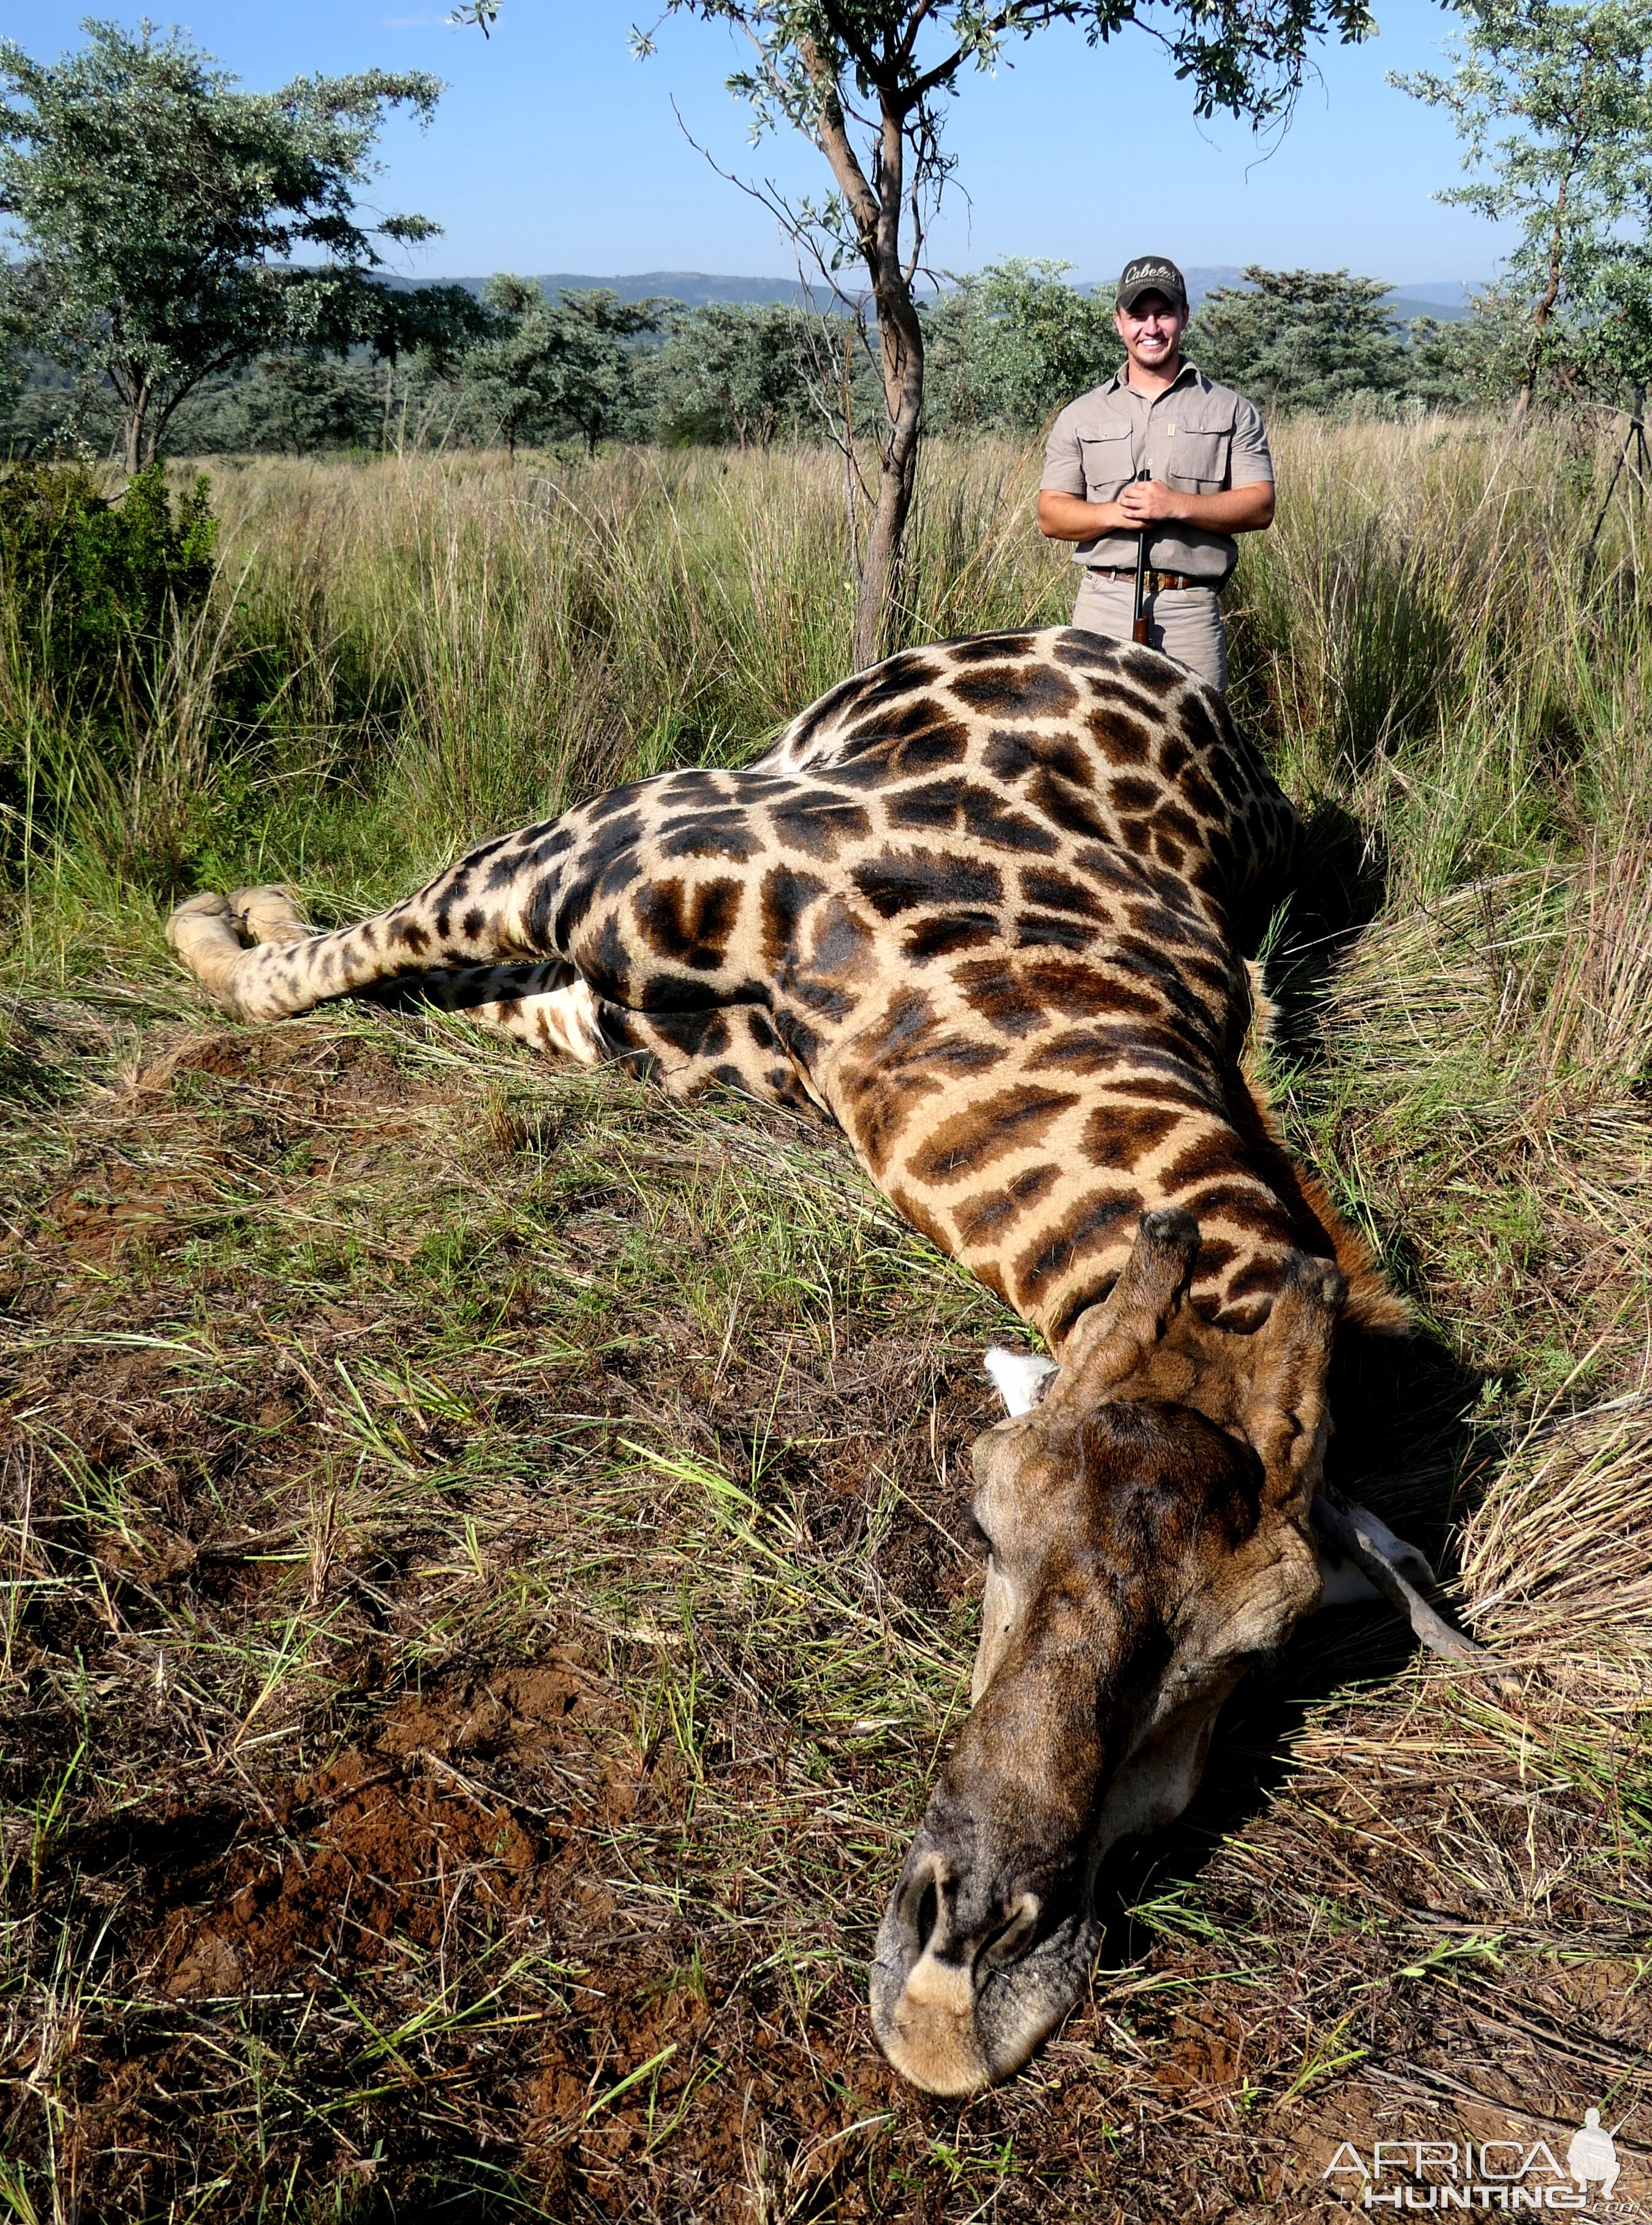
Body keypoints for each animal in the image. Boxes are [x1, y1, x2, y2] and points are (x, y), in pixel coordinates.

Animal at [168, 622, 1485, 2082]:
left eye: (1260, 1648)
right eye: (983, 1519)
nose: (957, 1992)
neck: (938, 995)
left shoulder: (622, 998)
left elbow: (412, 979)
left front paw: (250, 914)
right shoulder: (597, 848)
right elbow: (320, 970)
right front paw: (220, 917)